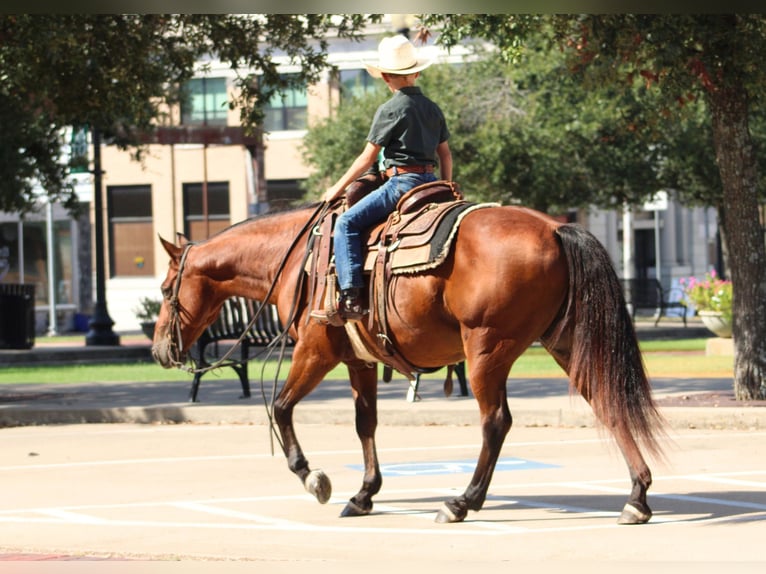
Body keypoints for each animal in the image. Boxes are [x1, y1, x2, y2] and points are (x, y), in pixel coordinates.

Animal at [151, 201, 665, 525]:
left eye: (165, 289)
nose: (159, 350)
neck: (296, 259)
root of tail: (555, 228)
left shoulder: (314, 350)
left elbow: (279, 407)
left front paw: (313, 477)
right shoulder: (357, 360)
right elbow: (365, 423)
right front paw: (363, 494)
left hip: (487, 349)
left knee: (496, 422)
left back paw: (462, 501)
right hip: (565, 341)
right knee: (608, 402)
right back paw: (637, 497)